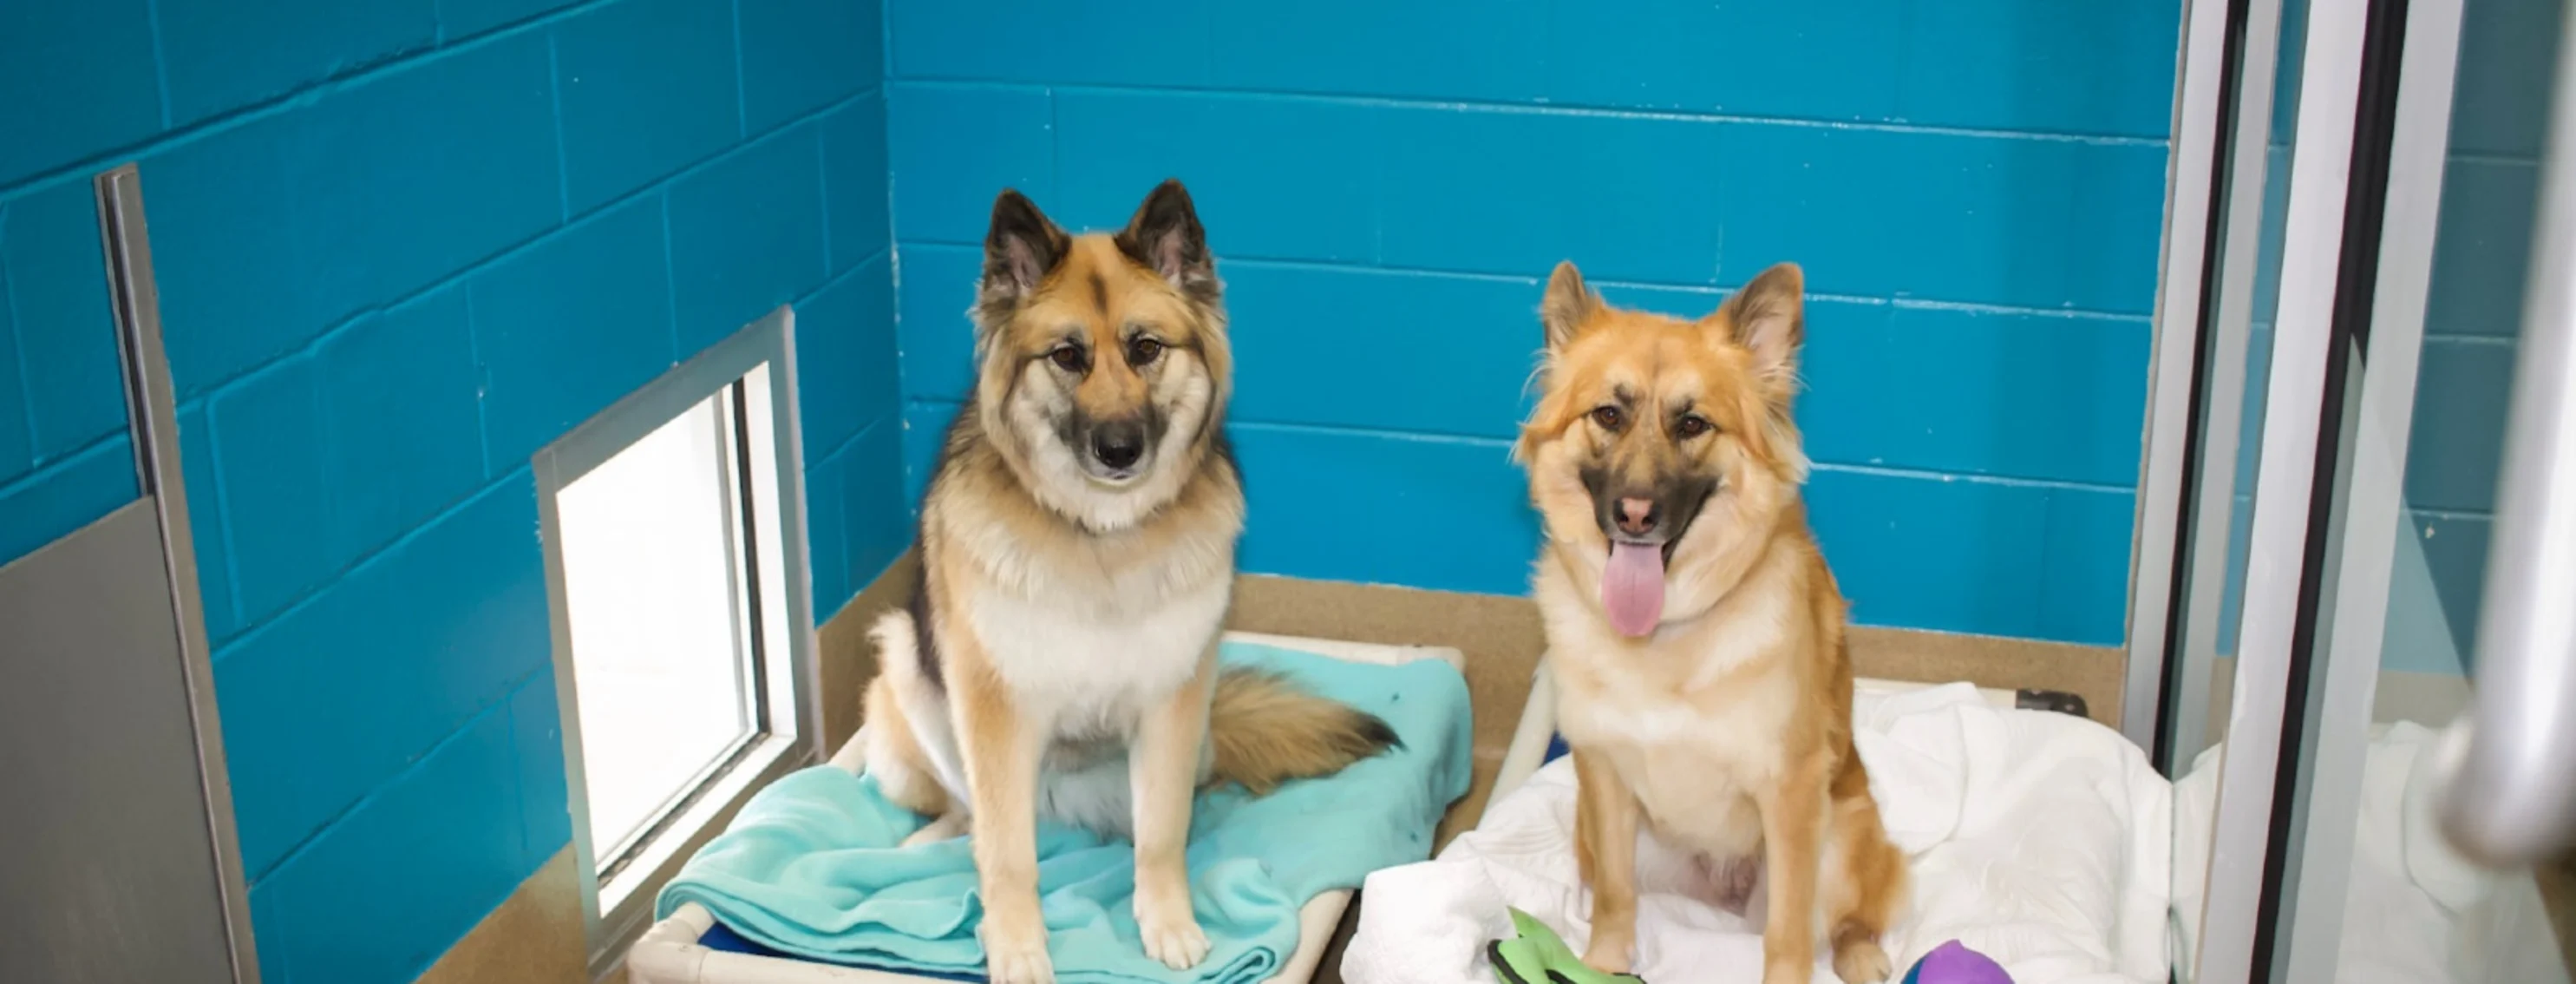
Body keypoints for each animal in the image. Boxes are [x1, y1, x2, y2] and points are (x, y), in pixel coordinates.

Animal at [860, 179, 1390, 984]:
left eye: (1146, 349)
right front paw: (1017, 946)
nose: (1119, 450)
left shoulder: (1170, 704)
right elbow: (1006, 853)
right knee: (969, 814)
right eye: (1067, 356)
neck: (1100, 535)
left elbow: (1163, 832)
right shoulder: (993, 712)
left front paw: (1166, 921)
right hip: (906, 667)